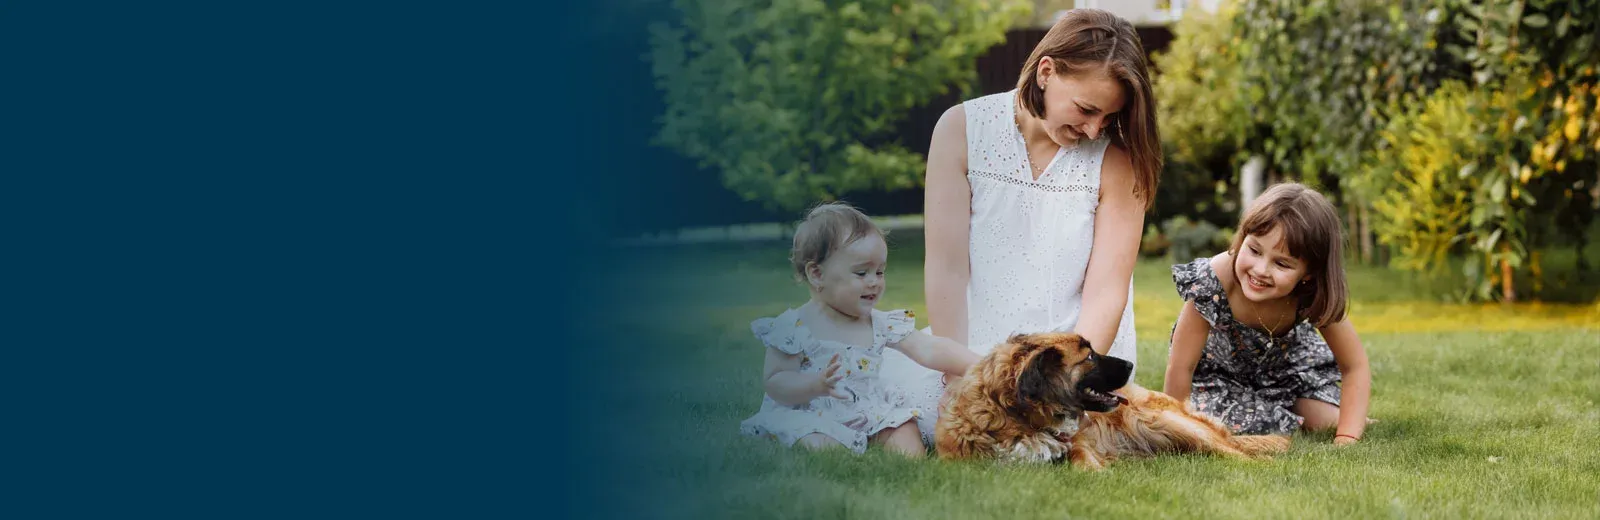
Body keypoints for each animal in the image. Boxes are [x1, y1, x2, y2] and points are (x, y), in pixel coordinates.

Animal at [934, 332, 1286, 467]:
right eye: (1089, 356)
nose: (1130, 364)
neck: (1015, 417)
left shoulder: (1076, 445)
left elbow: (1081, 460)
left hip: (1161, 421)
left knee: (1234, 452)